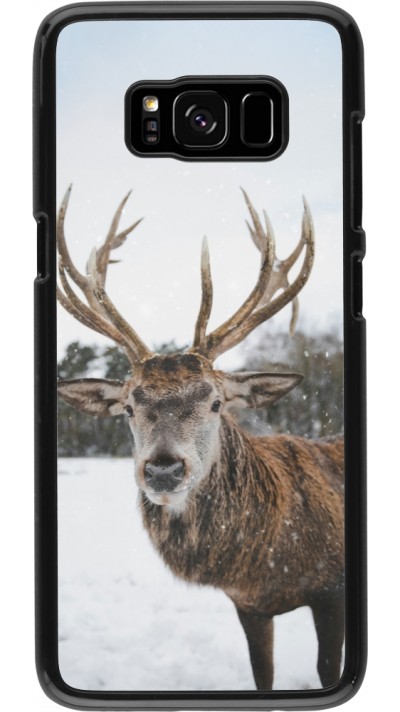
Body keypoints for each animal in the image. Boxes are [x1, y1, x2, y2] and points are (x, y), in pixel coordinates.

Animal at [57, 186, 344, 691]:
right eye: (128, 407)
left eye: (215, 402)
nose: (163, 469)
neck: (268, 564)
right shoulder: (249, 605)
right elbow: (262, 675)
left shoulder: (332, 590)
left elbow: (329, 668)